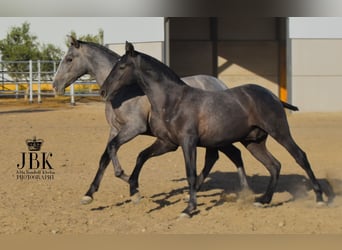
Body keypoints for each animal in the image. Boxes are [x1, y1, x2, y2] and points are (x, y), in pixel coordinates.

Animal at [52, 36, 250, 205]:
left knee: (219, 156)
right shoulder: (115, 129)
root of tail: (220, 85)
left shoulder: (134, 128)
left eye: (69, 59)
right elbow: (105, 157)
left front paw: (132, 186)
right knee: (219, 156)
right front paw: (89, 194)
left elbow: (116, 150)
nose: (55, 86)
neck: (125, 91)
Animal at [100, 41, 328, 217]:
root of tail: (272, 95)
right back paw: (263, 200)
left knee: (300, 156)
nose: (102, 90)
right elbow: (141, 156)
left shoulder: (188, 142)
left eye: (122, 67)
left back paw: (319, 197)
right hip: (254, 142)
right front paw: (133, 189)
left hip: (279, 131)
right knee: (274, 165)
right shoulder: (167, 143)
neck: (173, 101)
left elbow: (191, 174)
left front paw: (189, 209)